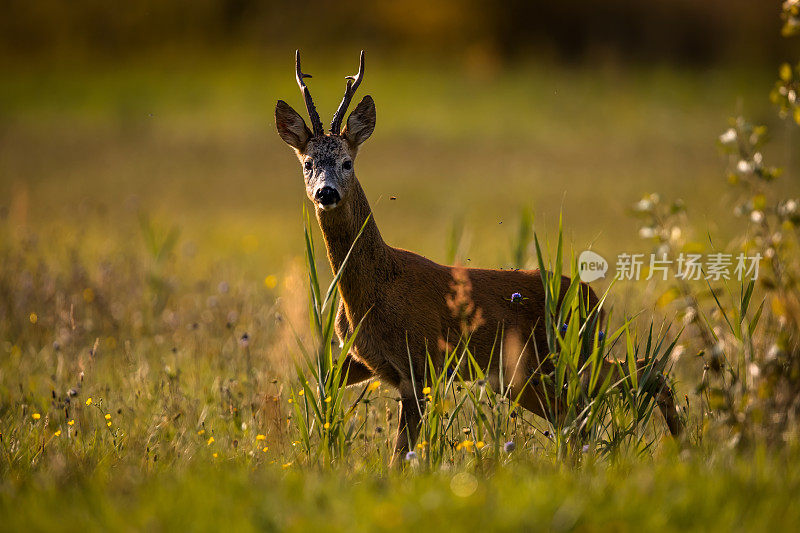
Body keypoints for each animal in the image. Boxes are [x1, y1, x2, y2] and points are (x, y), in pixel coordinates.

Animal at [276, 52, 680, 464]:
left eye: (347, 162)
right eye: (307, 163)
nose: (326, 192)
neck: (374, 290)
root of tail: (594, 299)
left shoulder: (421, 362)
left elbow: (401, 454)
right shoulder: (363, 360)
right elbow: (322, 388)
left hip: (563, 355)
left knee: (633, 380)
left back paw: (681, 445)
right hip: (532, 372)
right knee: (583, 409)